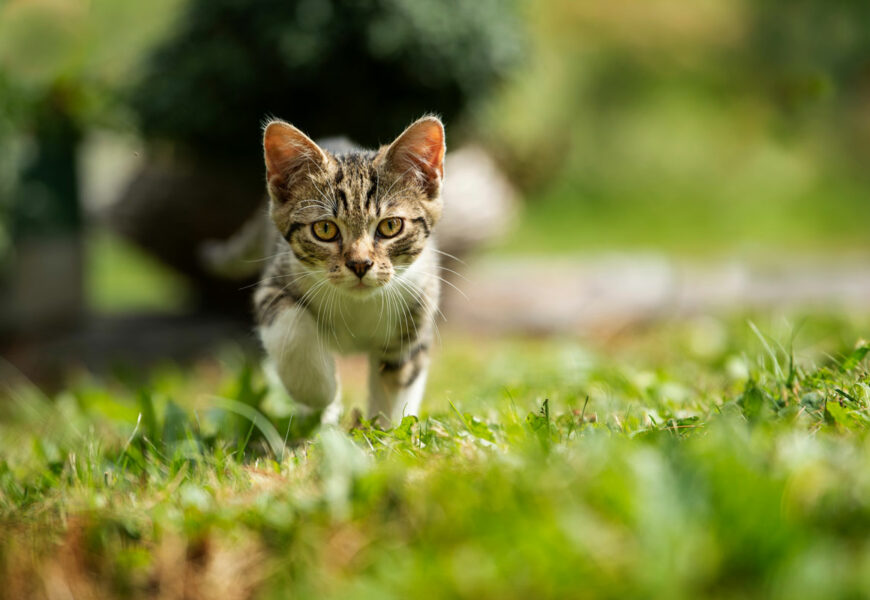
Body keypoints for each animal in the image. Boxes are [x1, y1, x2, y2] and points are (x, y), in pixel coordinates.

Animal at [250, 116, 442, 426]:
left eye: (391, 226)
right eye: (325, 229)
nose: (360, 263)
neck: (357, 306)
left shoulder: (420, 299)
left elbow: (400, 373)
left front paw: (386, 430)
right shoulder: (275, 280)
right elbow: (290, 329)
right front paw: (319, 393)